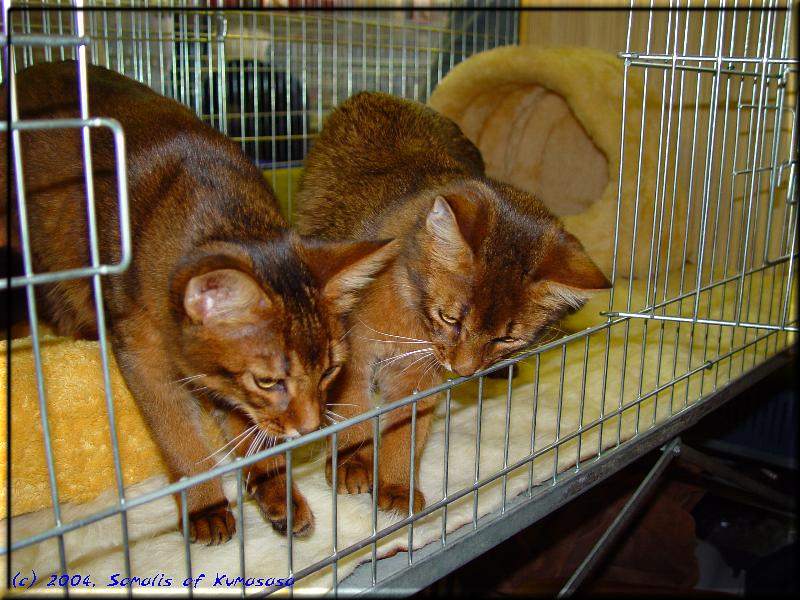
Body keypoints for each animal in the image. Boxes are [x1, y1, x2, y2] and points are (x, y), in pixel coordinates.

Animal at [0, 64, 398, 544]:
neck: (217, 210)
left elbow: (247, 427)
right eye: (268, 381)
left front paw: (275, 490)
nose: (308, 429)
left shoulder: (225, 384)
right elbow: (183, 442)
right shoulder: (145, 363)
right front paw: (207, 506)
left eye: (330, 371)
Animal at [296, 91, 612, 512]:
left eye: (506, 338)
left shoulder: (417, 376)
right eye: (450, 318)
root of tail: (375, 94)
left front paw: (396, 486)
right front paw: (352, 463)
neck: (410, 315)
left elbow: (406, 431)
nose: (463, 372)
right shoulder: (355, 357)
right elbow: (354, 412)